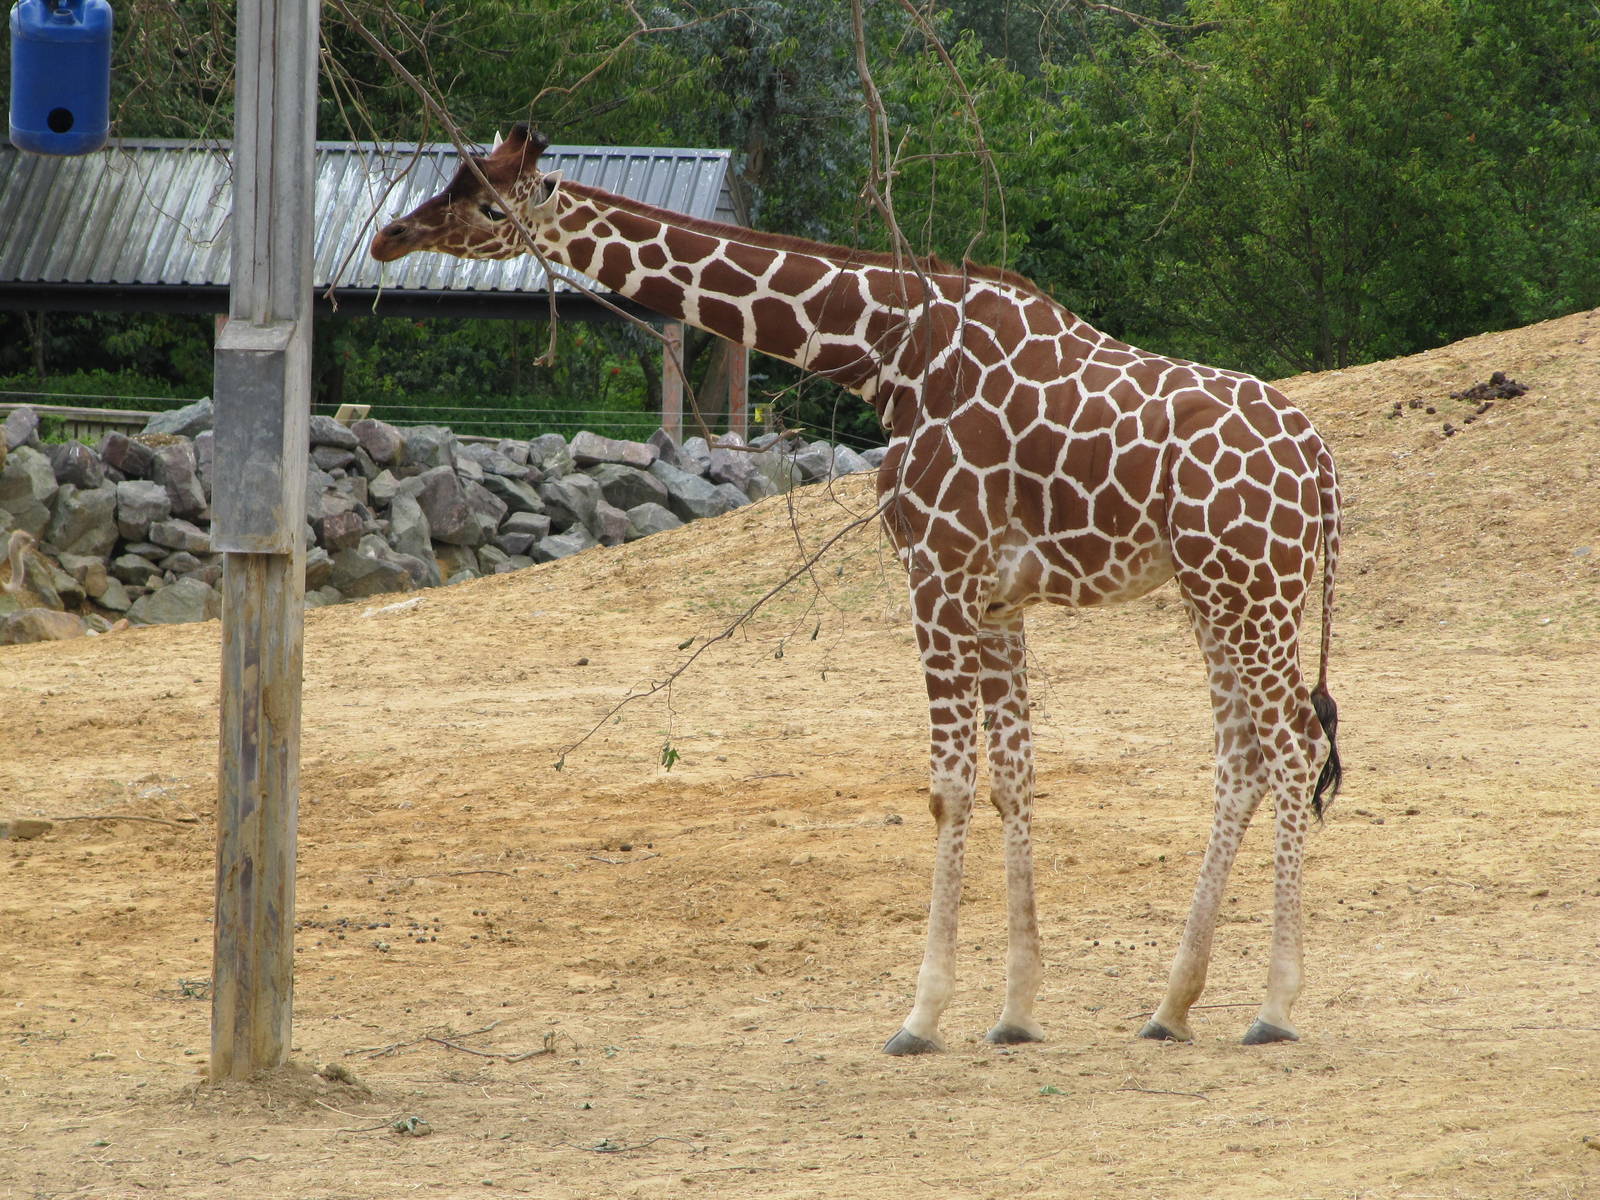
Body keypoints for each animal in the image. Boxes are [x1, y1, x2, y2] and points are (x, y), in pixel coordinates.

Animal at [370, 124, 1344, 1053]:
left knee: (1293, 747)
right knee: (1242, 758)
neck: (887, 355)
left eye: (490, 205)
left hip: (1251, 587)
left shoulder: (937, 571)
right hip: (1218, 591)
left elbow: (949, 786)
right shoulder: (997, 595)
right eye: (456, 179)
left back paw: (1275, 1007)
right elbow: (1013, 780)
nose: (390, 237)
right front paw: (1016, 1012)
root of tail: (1322, 466)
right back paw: (1172, 1006)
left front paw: (922, 1016)